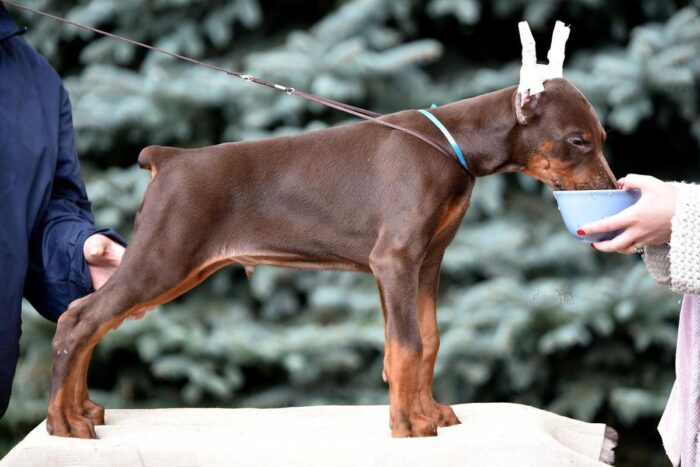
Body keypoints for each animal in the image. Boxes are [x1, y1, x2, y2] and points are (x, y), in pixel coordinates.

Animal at [46, 23, 617, 439]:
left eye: (603, 136)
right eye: (578, 139)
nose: (612, 187)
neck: (453, 144)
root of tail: (169, 158)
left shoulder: (427, 261)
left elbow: (428, 339)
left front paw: (431, 411)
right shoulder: (395, 259)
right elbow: (407, 344)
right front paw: (410, 424)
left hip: (171, 266)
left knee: (86, 318)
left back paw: (82, 410)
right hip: (164, 257)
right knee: (80, 320)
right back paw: (63, 422)